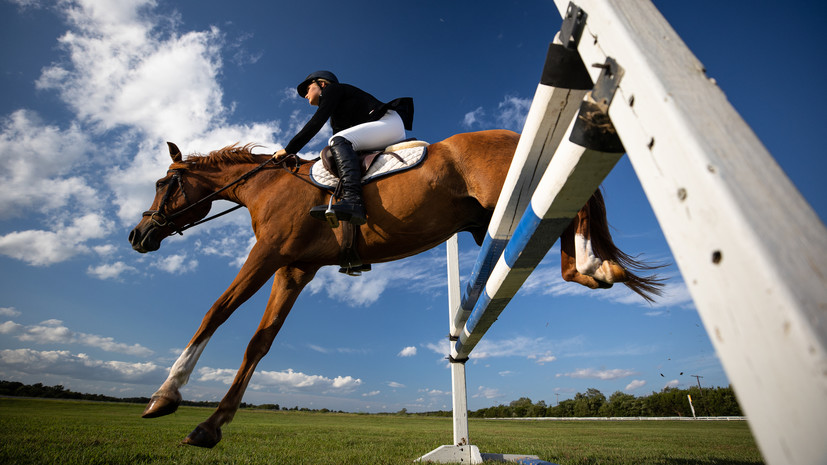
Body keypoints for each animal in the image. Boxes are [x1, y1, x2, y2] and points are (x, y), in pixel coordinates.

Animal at [128, 128, 660, 446]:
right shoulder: (294, 269)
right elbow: (260, 343)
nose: (137, 235)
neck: (265, 187)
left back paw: (595, 263)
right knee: (564, 224)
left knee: (578, 200)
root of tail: (513, 133)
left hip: (515, 192)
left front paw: (164, 396)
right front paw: (209, 426)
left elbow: (216, 312)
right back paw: (592, 268)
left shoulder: (269, 255)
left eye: (163, 184)